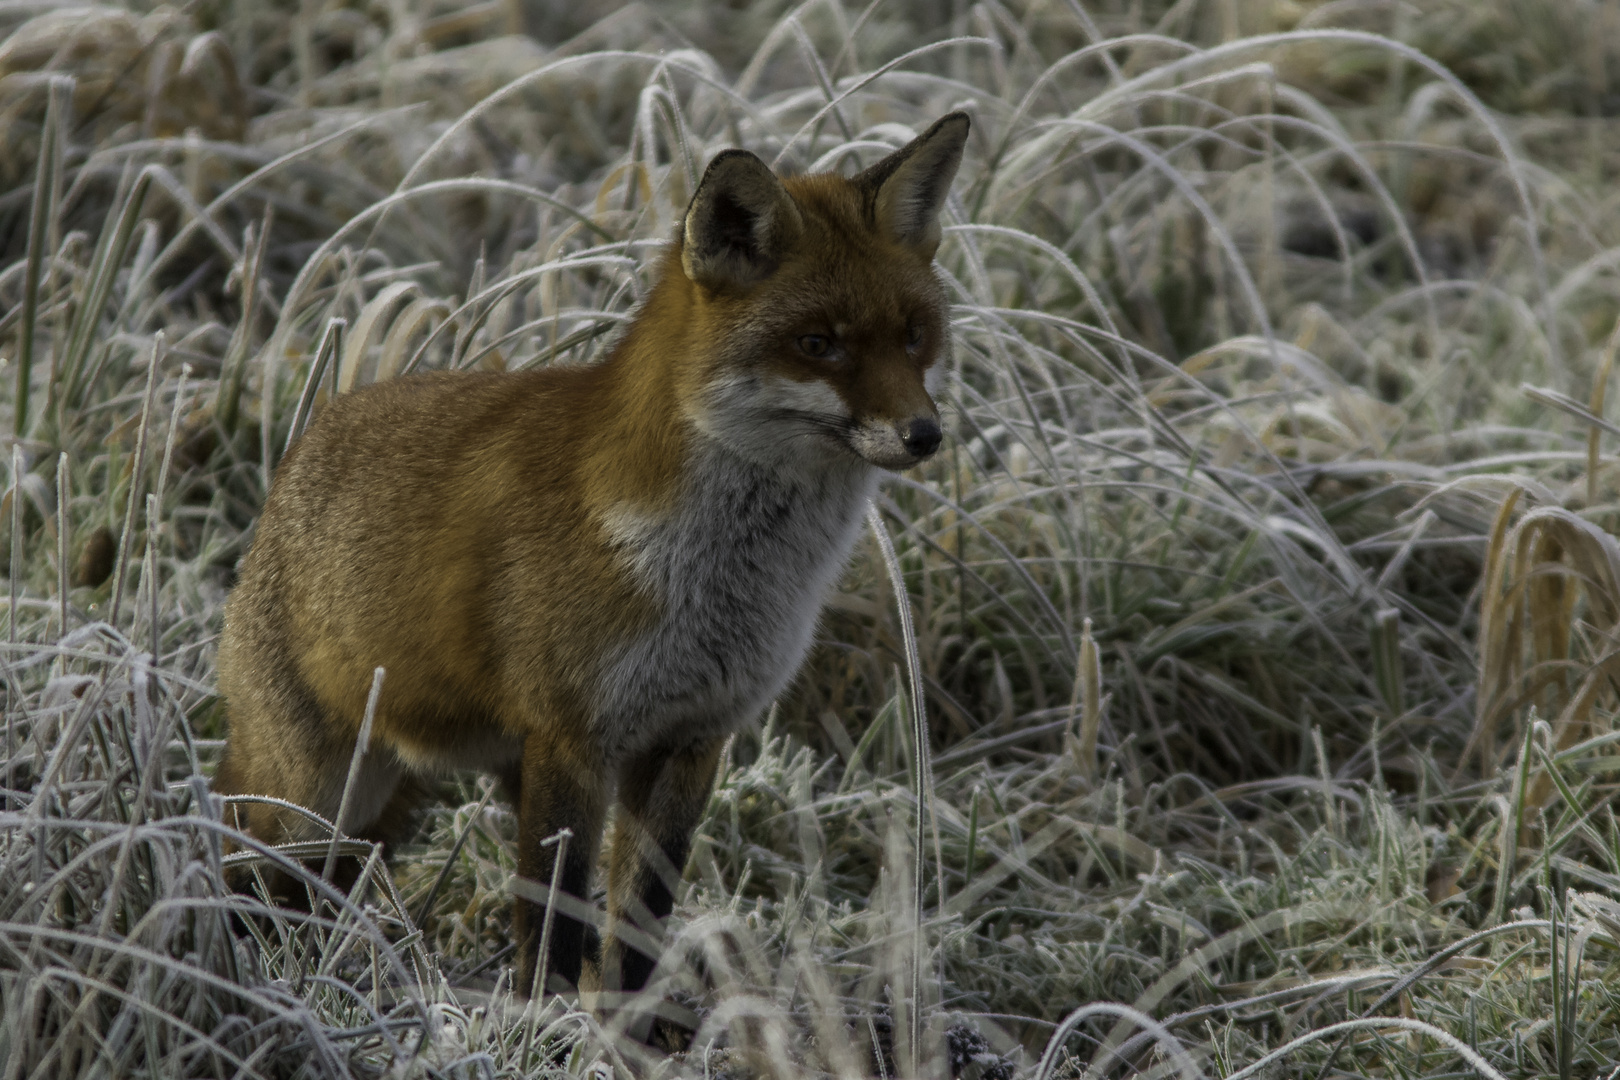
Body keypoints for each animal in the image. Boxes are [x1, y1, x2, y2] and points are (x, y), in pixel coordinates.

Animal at [217, 110, 972, 997]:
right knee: (242, 861)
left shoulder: (690, 739)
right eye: (818, 343)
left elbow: (638, 920)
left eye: (915, 335)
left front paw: (628, 1021)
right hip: (311, 795)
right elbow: (551, 915)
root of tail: (302, 449)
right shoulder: (573, 737)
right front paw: (544, 1015)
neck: (716, 582)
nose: (924, 435)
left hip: (449, 780)